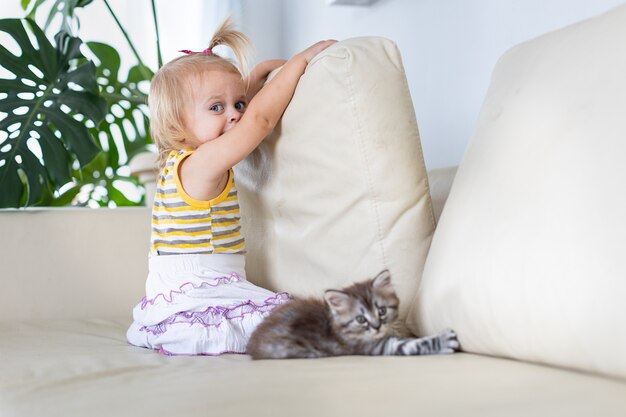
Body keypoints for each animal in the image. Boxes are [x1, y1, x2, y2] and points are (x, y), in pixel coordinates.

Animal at [245, 270, 458, 358]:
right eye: (361, 319)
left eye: (381, 311)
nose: (377, 326)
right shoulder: (373, 347)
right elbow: (411, 345)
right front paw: (444, 340)